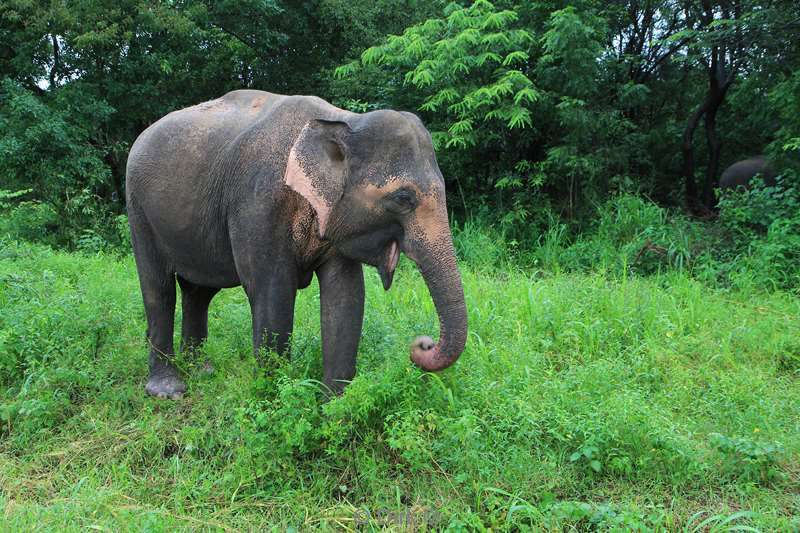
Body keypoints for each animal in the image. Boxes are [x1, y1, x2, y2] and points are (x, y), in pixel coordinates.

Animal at [125, 89, 468, 396]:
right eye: (403, 198)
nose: (423, 344)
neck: (341, 120)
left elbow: (346, 294)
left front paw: (334, 405)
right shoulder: (258, 203)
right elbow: (272, 289)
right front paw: (272, 397)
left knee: (198, 291)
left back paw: (201, 371)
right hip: (138, 209)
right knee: (159, 290)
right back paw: (168, 389)